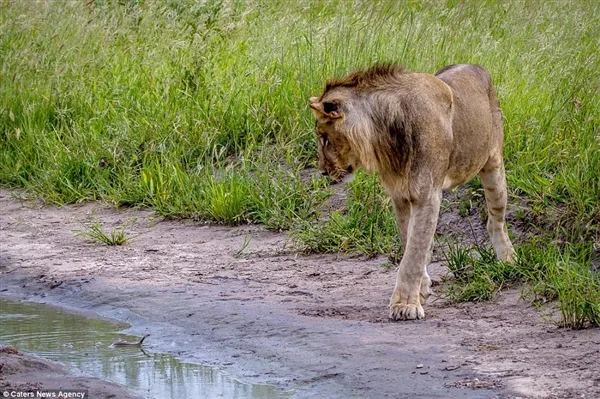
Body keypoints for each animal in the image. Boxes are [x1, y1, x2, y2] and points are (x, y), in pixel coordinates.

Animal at [310, 65, 516, 322]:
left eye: (323, 138)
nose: (322, 171)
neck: (385, 135)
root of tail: (477, 66)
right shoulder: (400, 197)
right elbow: (411, 243)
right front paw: (421, 289)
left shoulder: (427, 195)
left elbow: (413, 254)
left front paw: (405, 305)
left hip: (493, 166)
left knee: (495, 220)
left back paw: (507, 260)